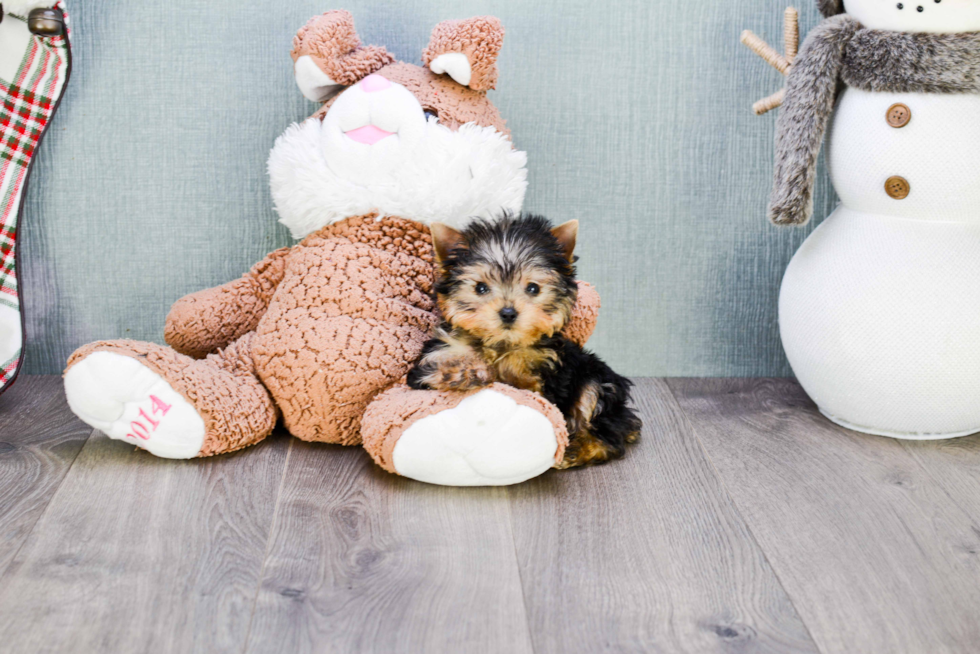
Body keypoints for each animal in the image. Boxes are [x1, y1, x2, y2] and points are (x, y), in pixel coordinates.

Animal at [408, 215, 644, 472]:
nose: (508, 312)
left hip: (596, 379)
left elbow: (530, 389)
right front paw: (461, 373)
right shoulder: (437, 353)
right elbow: (429, 374)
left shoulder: (548, 372)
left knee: (604, 428)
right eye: (480, 288)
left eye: (533, 288)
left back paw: (575, 450)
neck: (502, 344)